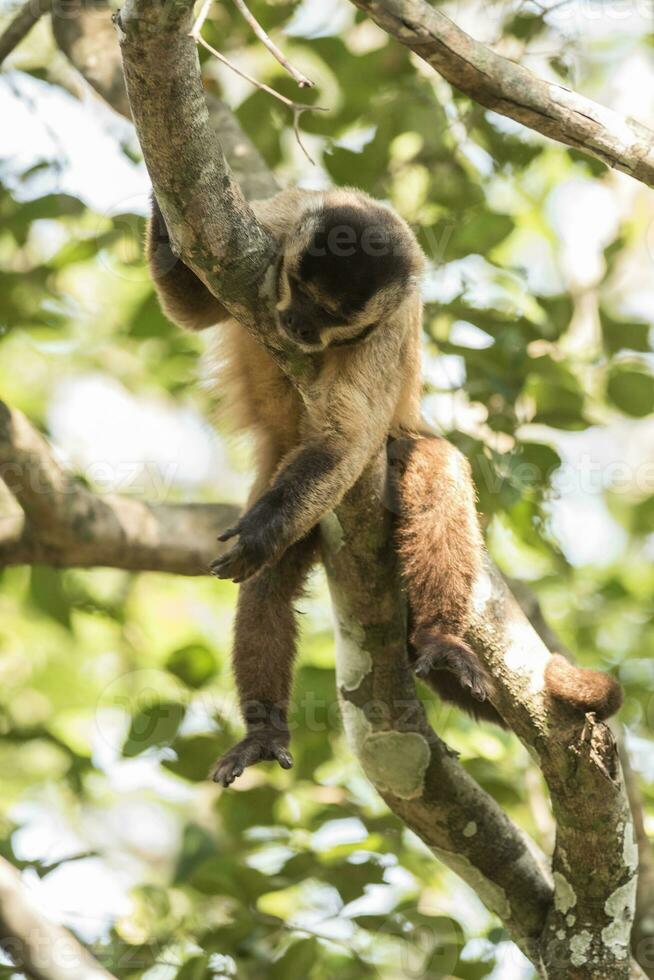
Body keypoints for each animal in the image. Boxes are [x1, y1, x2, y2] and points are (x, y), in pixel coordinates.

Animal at [149, 186, 624, 788]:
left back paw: (440, 639)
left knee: (434, 469)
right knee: (270, 580)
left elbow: (347, 440)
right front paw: (158, 204)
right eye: (302, 293)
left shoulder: (389, 325)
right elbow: (187, 308)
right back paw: (264, 730)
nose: (299, 326)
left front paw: (261, 530)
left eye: (330, 314)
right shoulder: (272, 226)